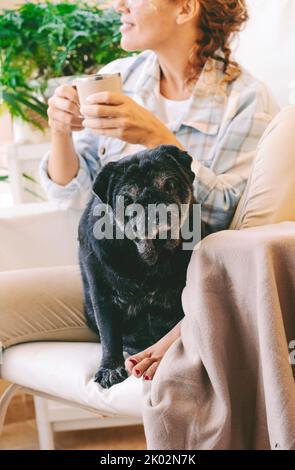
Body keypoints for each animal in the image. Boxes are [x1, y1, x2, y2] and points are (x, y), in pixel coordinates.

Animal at [78, 144, 197, 390]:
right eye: (127, 198)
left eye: (170, 184)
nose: (152, 205)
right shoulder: (103, 296)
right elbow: (109, 335)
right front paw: (109, 368)